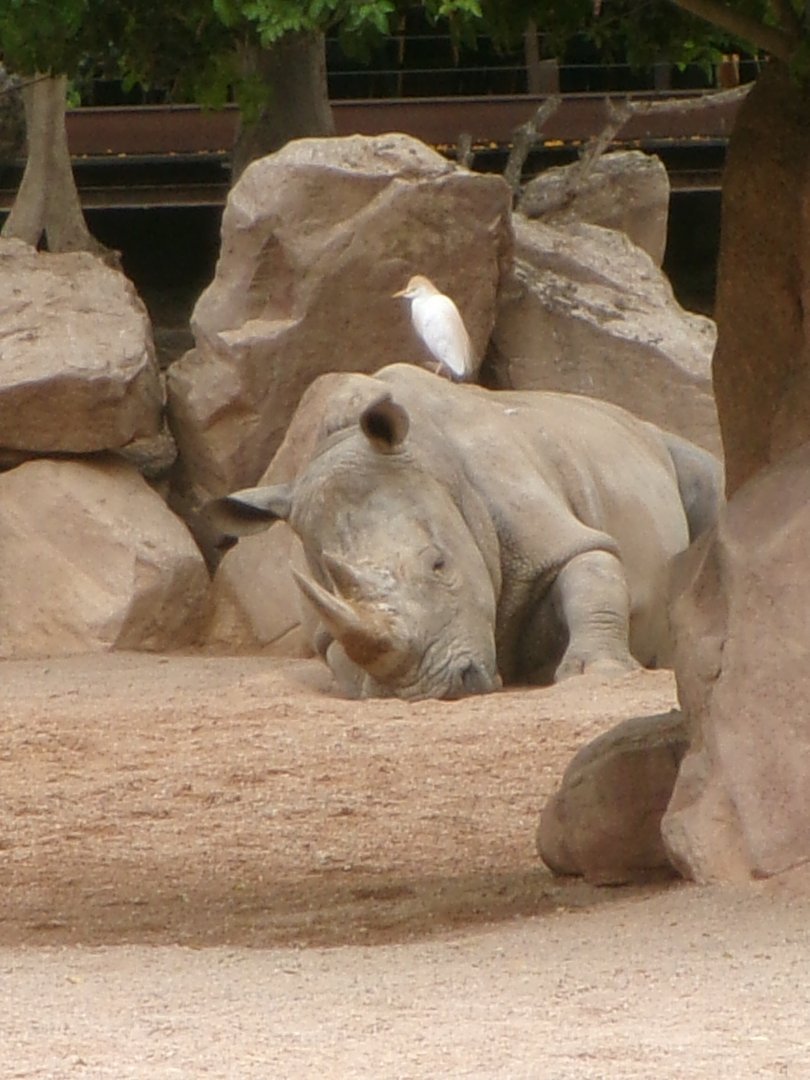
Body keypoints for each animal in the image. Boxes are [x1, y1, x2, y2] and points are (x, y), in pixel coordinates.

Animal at [209, 363, 723, 701]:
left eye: (439, 563)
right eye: (330, 584)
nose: (437, 689)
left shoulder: (547, 526)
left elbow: (590, 570)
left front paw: (594, 673)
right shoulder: (325, 631)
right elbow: (341, 657)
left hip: (658, 442)